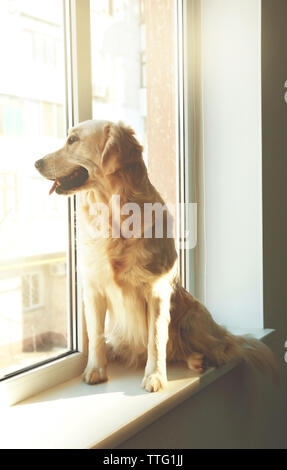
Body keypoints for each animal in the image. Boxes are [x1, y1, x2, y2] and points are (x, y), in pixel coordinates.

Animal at [34, 119, 280, 392]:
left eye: (73, 140)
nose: (36, 163)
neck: (113, 214)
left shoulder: (157, 291)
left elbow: (156, 339)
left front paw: (155, 376)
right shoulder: (94, 289)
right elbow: (97, 335)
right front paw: (95, 370)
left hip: (192, 316)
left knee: (220, 346)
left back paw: (202, 359)